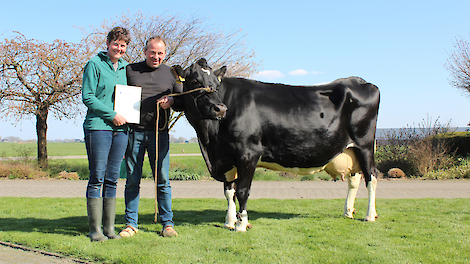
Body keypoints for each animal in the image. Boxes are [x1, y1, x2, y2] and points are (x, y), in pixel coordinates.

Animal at [174, 58, 380, 231]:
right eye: (195, 81)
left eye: (216, 84)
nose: (220, 108)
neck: (210, 143)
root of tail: (358, 80)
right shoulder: (226, 158)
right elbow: (228, 191)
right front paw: (229, 222)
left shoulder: (248, 153)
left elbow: (242, 191)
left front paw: (241, 225)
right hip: (351, 150)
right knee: (355, 179)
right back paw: (348, 212)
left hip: (365, 145)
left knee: (371, 178)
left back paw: (370, 216)